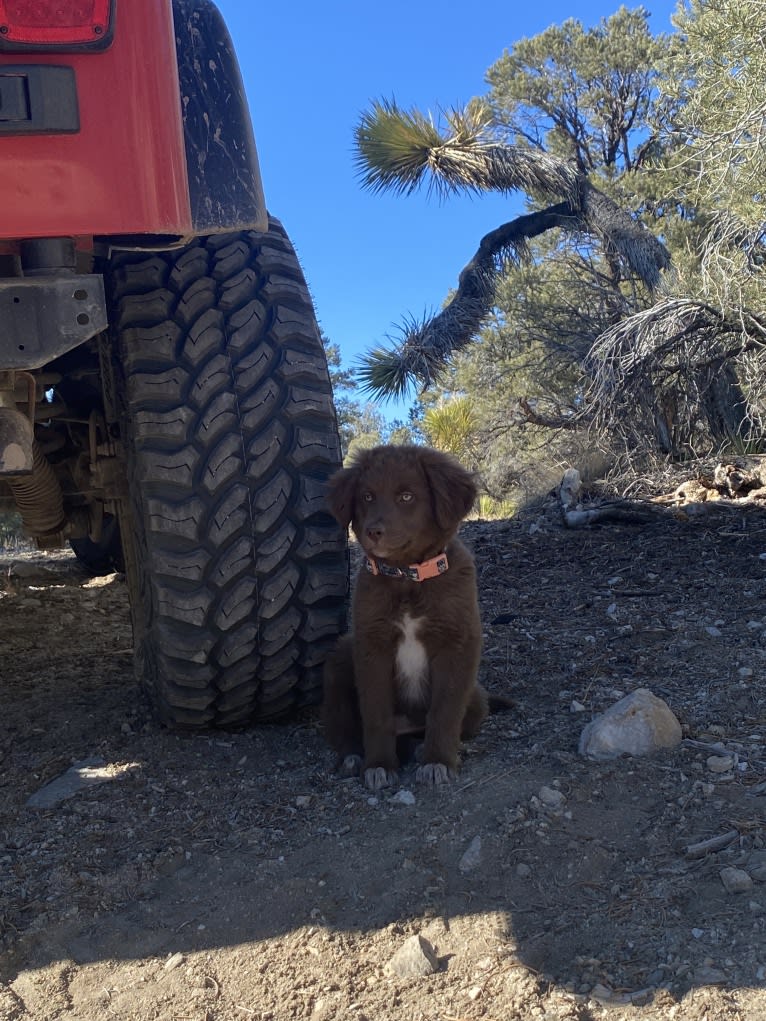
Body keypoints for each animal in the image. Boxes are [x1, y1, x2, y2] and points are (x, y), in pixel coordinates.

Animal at [320, 445, 488, 788]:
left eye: (407, 497)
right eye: (367, 496)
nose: (373, 532)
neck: (407, 577)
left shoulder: (458, 643)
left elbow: (445, 711)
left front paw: (438, 761)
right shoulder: (372, 645)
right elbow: (376, 713)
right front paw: (379, 765)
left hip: (477, 695)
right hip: (340, 659)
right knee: (342, 725)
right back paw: (353, 756)